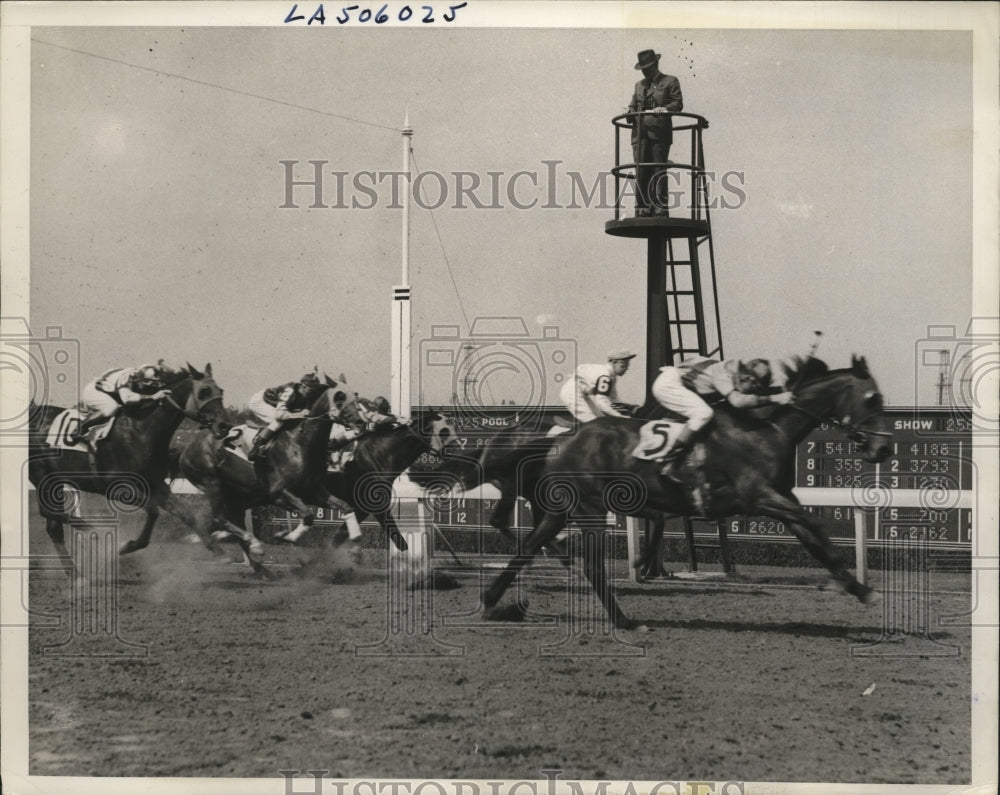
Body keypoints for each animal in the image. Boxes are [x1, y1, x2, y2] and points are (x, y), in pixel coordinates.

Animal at [27, 362, 232, 580]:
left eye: (221, 391)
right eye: (204, 391)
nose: (225, 426)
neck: (140, 432)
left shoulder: (156, 484)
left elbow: (185, 514)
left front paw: (220, 552)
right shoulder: (118, 487)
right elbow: (153, 511)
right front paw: (121, 545)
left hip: (55, 479)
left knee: (53, 526)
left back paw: (75, 572)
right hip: (42, 476)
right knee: (49, 514)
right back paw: (92, 533)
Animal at [480, 358, 896, 632]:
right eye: (873, 399)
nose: (883, 450)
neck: (767, 431)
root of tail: (561, 438)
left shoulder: (782, 499)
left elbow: (814, 540)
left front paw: (859, 588)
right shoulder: (758, 496)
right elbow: (815, 525)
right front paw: (854, 586)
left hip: (563, 509)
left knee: (530, 546)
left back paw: (491, 602)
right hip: (590, 507)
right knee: (590, 565)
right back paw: (625, 621)